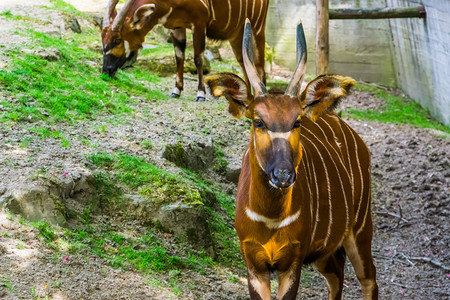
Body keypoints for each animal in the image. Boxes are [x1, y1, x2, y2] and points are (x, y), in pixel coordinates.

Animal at [101, 0, 268, 101]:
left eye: (117, 40)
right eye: (103, 38)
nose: (106, 70)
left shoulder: (199, 23)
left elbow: (198, 58)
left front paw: (200, 93)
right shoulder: (177, 27)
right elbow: (179, 57)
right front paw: (176, 91)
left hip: (257, 28)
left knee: (259, 64)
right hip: (237, 35)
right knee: (243, 61)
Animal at [206, 19, 378, 298]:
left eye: (297, 121)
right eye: (258, 121)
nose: (283, 175)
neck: (270, 218)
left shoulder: (292, 261)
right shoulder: (254, 264)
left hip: (360, 229)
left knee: (368, 279)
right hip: (325, 252)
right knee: (337, 276)